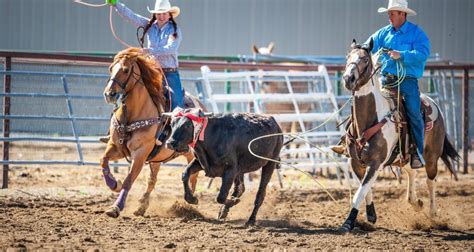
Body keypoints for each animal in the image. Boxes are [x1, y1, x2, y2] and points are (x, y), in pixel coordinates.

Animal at [100, 48, 204, 218]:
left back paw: (189, 202)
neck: (133, 115)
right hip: (156, 159)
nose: (109, 94)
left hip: (191, 153)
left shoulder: (140, 154)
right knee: (152, 180)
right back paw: (142, 206)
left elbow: (129, 180)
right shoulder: (116, 146)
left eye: (126, 70)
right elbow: (103, 161)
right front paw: (115, 184)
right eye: (110, 68)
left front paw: (116, 207)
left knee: (193, 176)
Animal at [340, 39, 460, 232]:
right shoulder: (355, 162)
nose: (348, 79)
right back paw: (415, 202)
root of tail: (432, 102)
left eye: (365, 59)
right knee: (412, 171)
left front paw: (348, 223)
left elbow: (360, 192)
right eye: (347, 57)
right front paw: (371, 214)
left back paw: (433, 213)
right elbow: (365, 189)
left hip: (431, 156)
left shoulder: (375, 163)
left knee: (430, 180)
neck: (370, 119)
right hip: (405, 155)